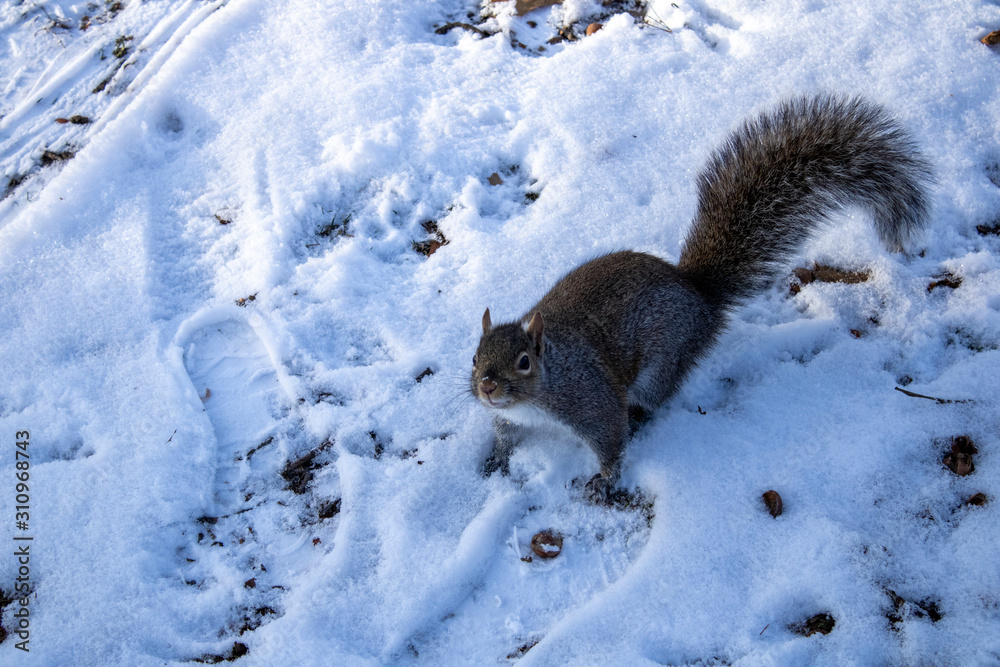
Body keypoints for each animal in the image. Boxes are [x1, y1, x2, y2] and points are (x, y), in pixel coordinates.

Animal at [470, 95, 932, 503]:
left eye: (524, 362)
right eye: (474, 357)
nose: (488, 387)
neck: (537, 395)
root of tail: (697, 293)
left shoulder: (590, 400)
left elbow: (611, 439)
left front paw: (603, 480)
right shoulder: (509, 417)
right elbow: (505, 437)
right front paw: (494, 459)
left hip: (663, 361)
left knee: (650, 401)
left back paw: (640, 417)